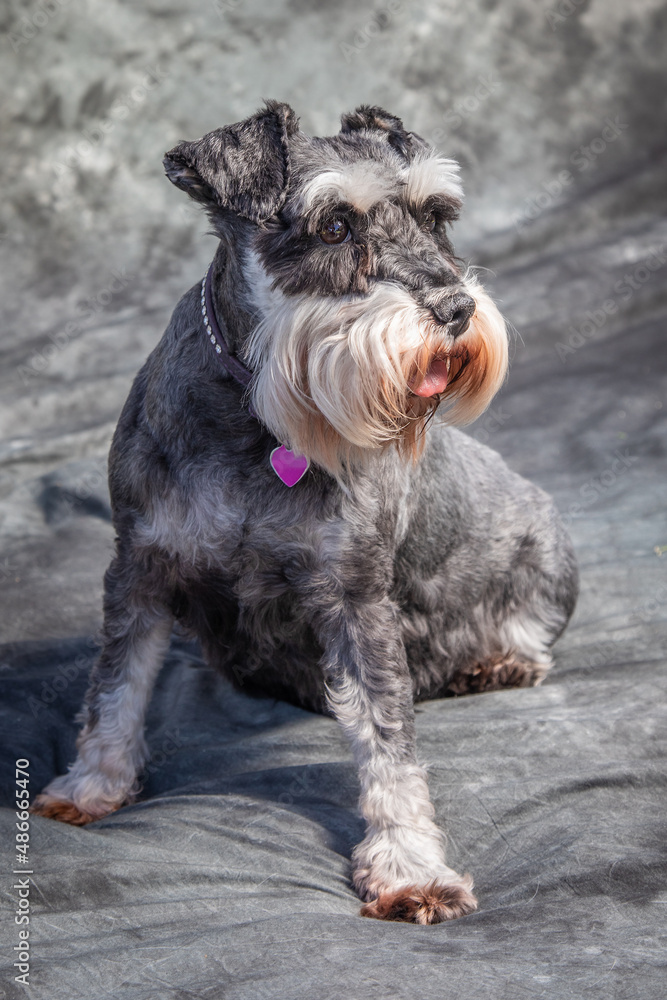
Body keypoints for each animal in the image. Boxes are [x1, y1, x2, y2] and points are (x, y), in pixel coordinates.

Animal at [31, 99, 576, 920]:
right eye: (334, 228)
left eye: (436, 216)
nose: (456, 309)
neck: (258, 419)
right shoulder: (141, 568)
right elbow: (115, 687)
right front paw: (91, 785)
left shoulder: (356, 598)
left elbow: (388, 738)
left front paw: (409, 868)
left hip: (550, 549)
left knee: (530, 632)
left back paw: (496, 660)